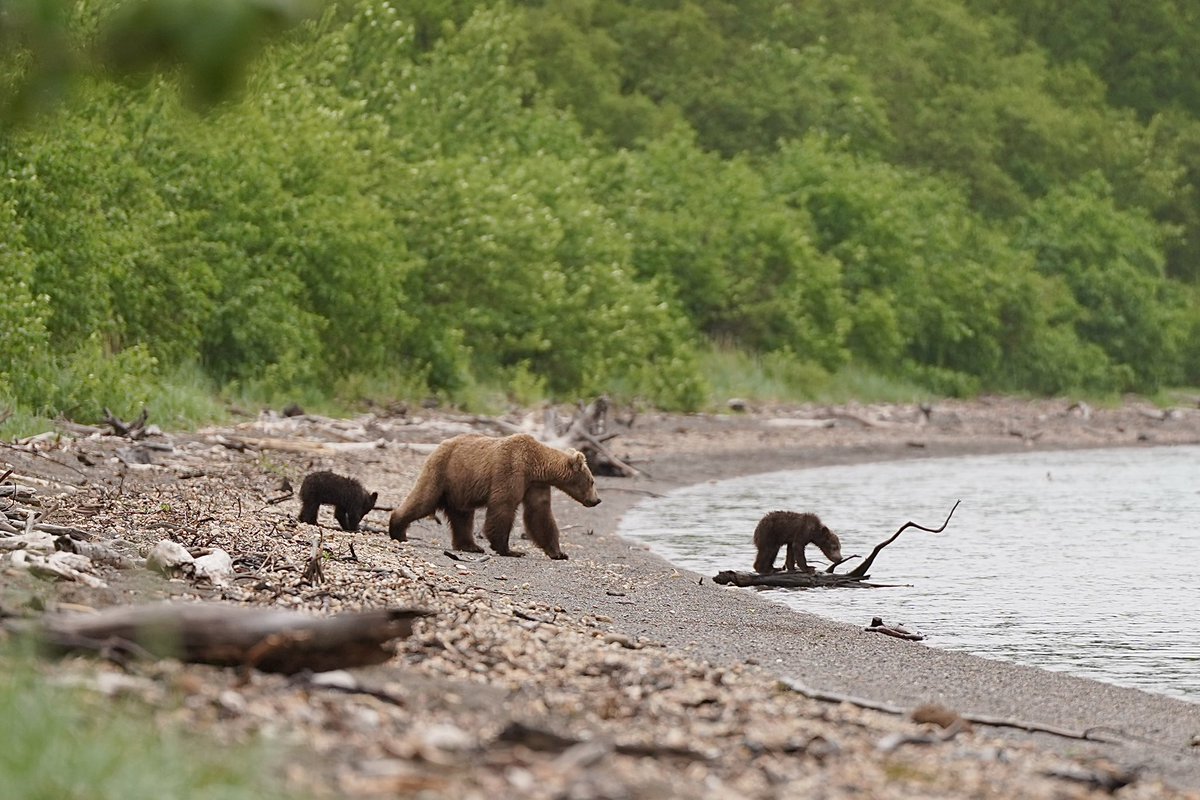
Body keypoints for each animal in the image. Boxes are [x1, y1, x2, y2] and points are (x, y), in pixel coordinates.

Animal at [387, 433, 601, 560]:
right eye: (592, 481)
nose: (597, 500)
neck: (535, 466)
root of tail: (438, 446)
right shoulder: (511, 469)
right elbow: (503, 506)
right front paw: (509, 549)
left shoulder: (535, 485)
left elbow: (540, 513)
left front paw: (558, 552)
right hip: (442, 472)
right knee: (423, 499)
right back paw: (398, 530)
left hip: (459, 487)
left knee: (462, 516)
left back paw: (470, 546)